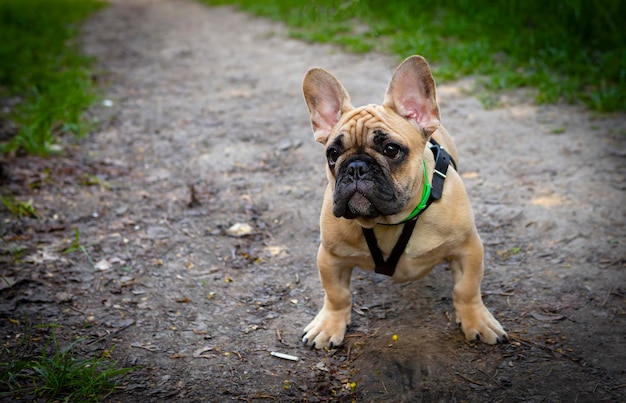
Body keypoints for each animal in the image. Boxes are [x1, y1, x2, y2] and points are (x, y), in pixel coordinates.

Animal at [300, 55, 504, 348]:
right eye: (333, 153)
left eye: (391, 149)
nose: (356, 167)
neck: (390, 220)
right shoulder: (330, 257)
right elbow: (337, 295)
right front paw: (329, 326)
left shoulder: (468, 248)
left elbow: (466, 289)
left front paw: (477, 321)